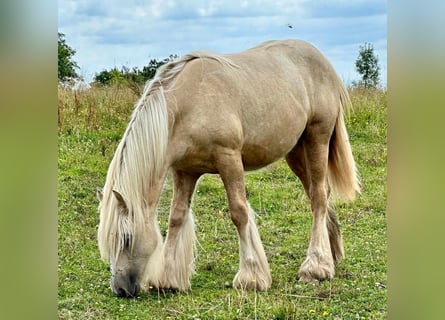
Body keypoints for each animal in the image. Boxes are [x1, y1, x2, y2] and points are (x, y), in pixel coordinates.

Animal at [96, 40, 358, 298]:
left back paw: (315, 266)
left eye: (126, 237)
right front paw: (167, 279)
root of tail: (322, 60)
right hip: (295, 152)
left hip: (317, 138)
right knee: (319, 193)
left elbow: (239, 212)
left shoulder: (229, 159)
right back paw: (331, 256)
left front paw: (251, 277)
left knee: (319, 197)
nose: (120, 288)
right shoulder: (185, 171)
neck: (188, 105)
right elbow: (176, 217)